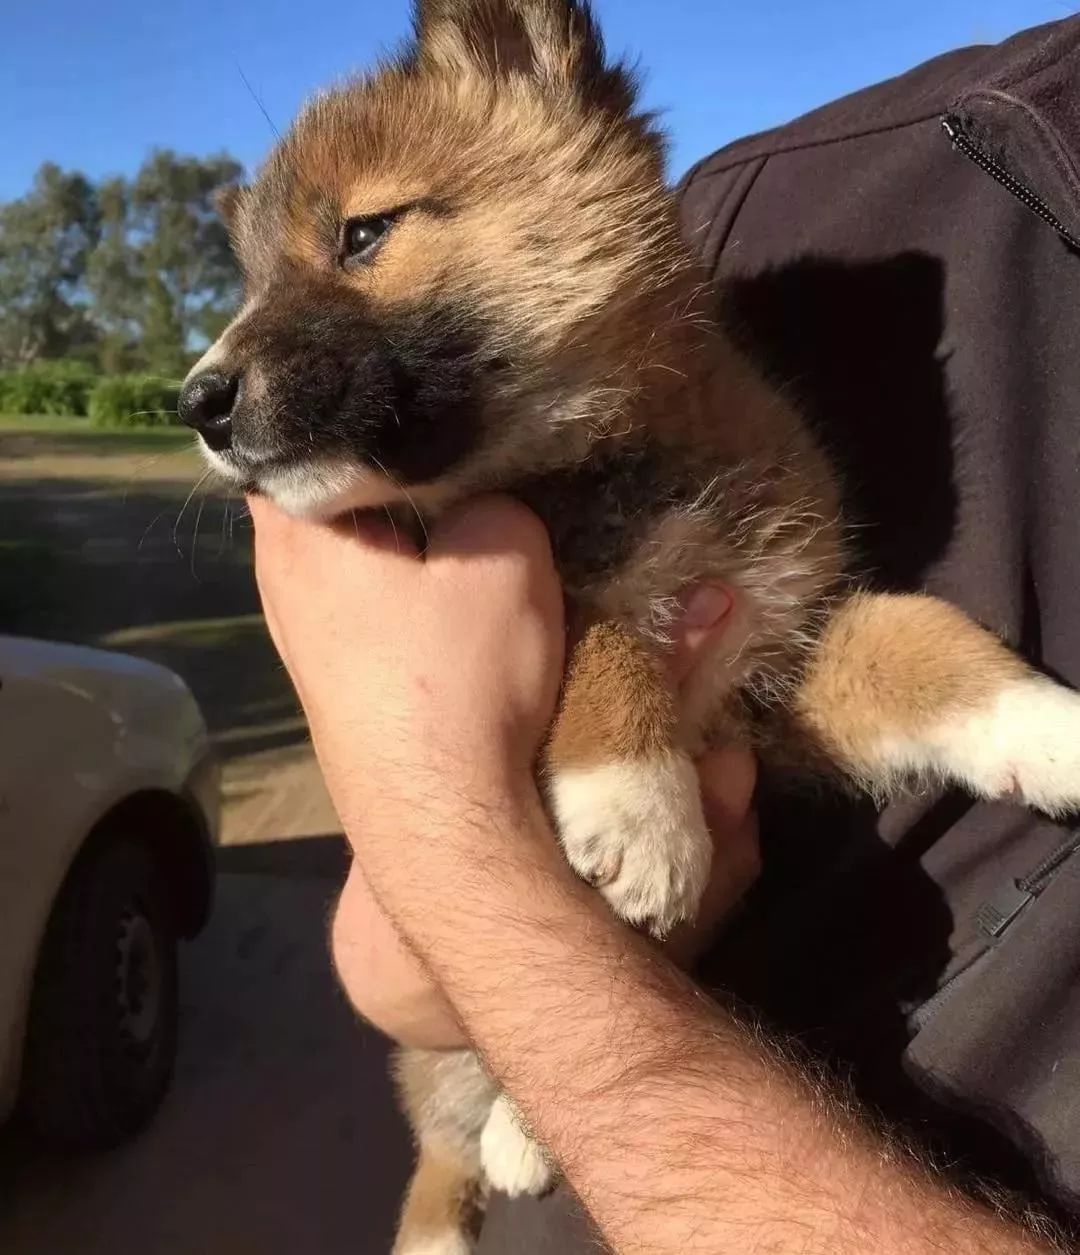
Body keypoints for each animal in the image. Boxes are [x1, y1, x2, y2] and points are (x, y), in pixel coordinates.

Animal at [180, 4, 1078, 1249]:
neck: (608, 464)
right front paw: (640, 803)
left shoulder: (779, 661)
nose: (196, 401)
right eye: (254, 278)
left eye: (363, 234)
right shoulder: (611, 618)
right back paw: (447, 1209)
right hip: (429, 1054)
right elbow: (608, 635)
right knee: (438, 1149)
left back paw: (522, 1134)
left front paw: (1048, 726)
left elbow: (922, 633)